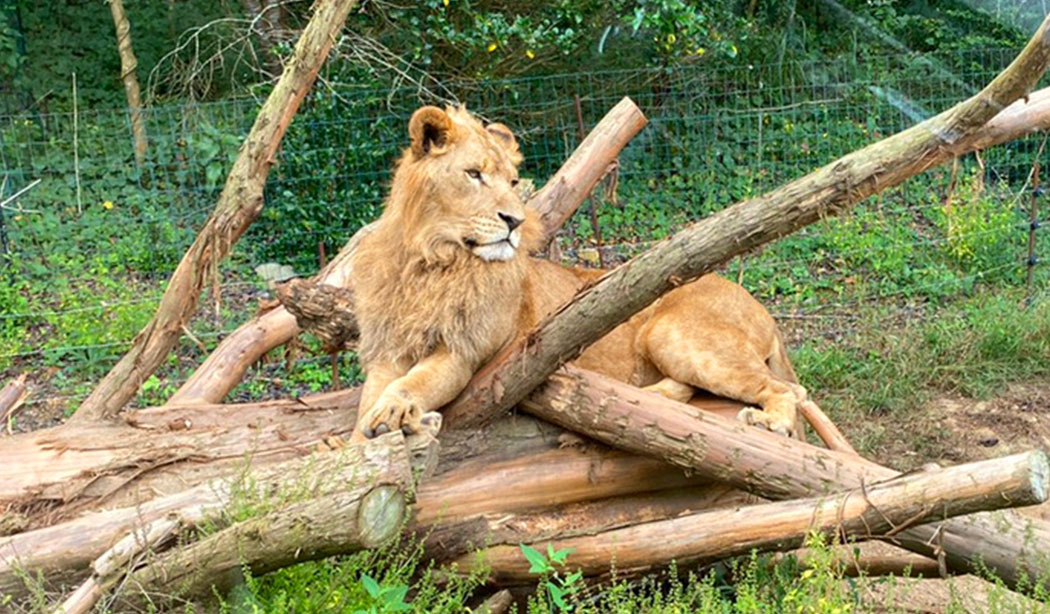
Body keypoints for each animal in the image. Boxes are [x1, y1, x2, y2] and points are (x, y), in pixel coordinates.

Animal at [348, 105, 814, 440]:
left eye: (513, 182)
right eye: (473, 174)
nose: (515, 221)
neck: (432, 262)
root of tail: (763, 309)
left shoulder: (465, 352)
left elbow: (416, 381)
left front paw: (395, 409)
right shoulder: (387, 349)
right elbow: (366, 404)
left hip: (671, 332)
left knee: (790, 389)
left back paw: (770, 422)